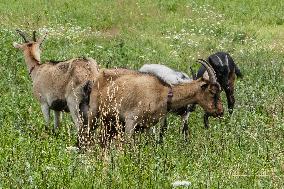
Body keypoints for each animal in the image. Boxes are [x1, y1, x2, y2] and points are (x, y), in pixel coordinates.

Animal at [87, 59, 223, 144]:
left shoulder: (148, 125)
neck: (163, 93)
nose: (220, 111)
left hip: (109, 120)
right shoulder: (131, 121)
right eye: (212, 91)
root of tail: (101, 73)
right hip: (94, 112)